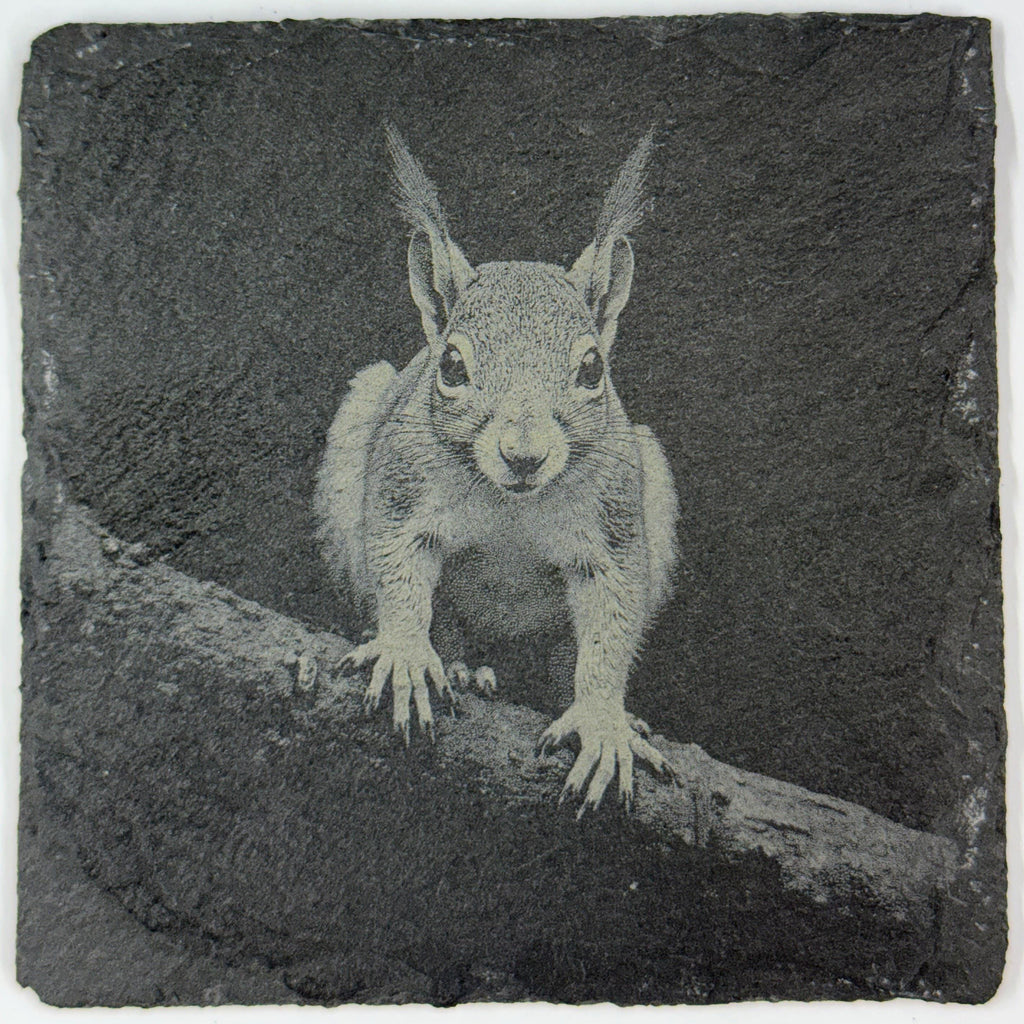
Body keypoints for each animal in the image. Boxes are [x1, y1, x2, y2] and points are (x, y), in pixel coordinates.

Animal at [314, 125, 680, 814]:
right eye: (452, 366)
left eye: (593, 369)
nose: (524, 455)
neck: (514, 504)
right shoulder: (403, 489)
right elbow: (399, 574)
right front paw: (405, 651)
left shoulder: (616, 524)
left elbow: (610, 621)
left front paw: (601, 720)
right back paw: (462, 665)